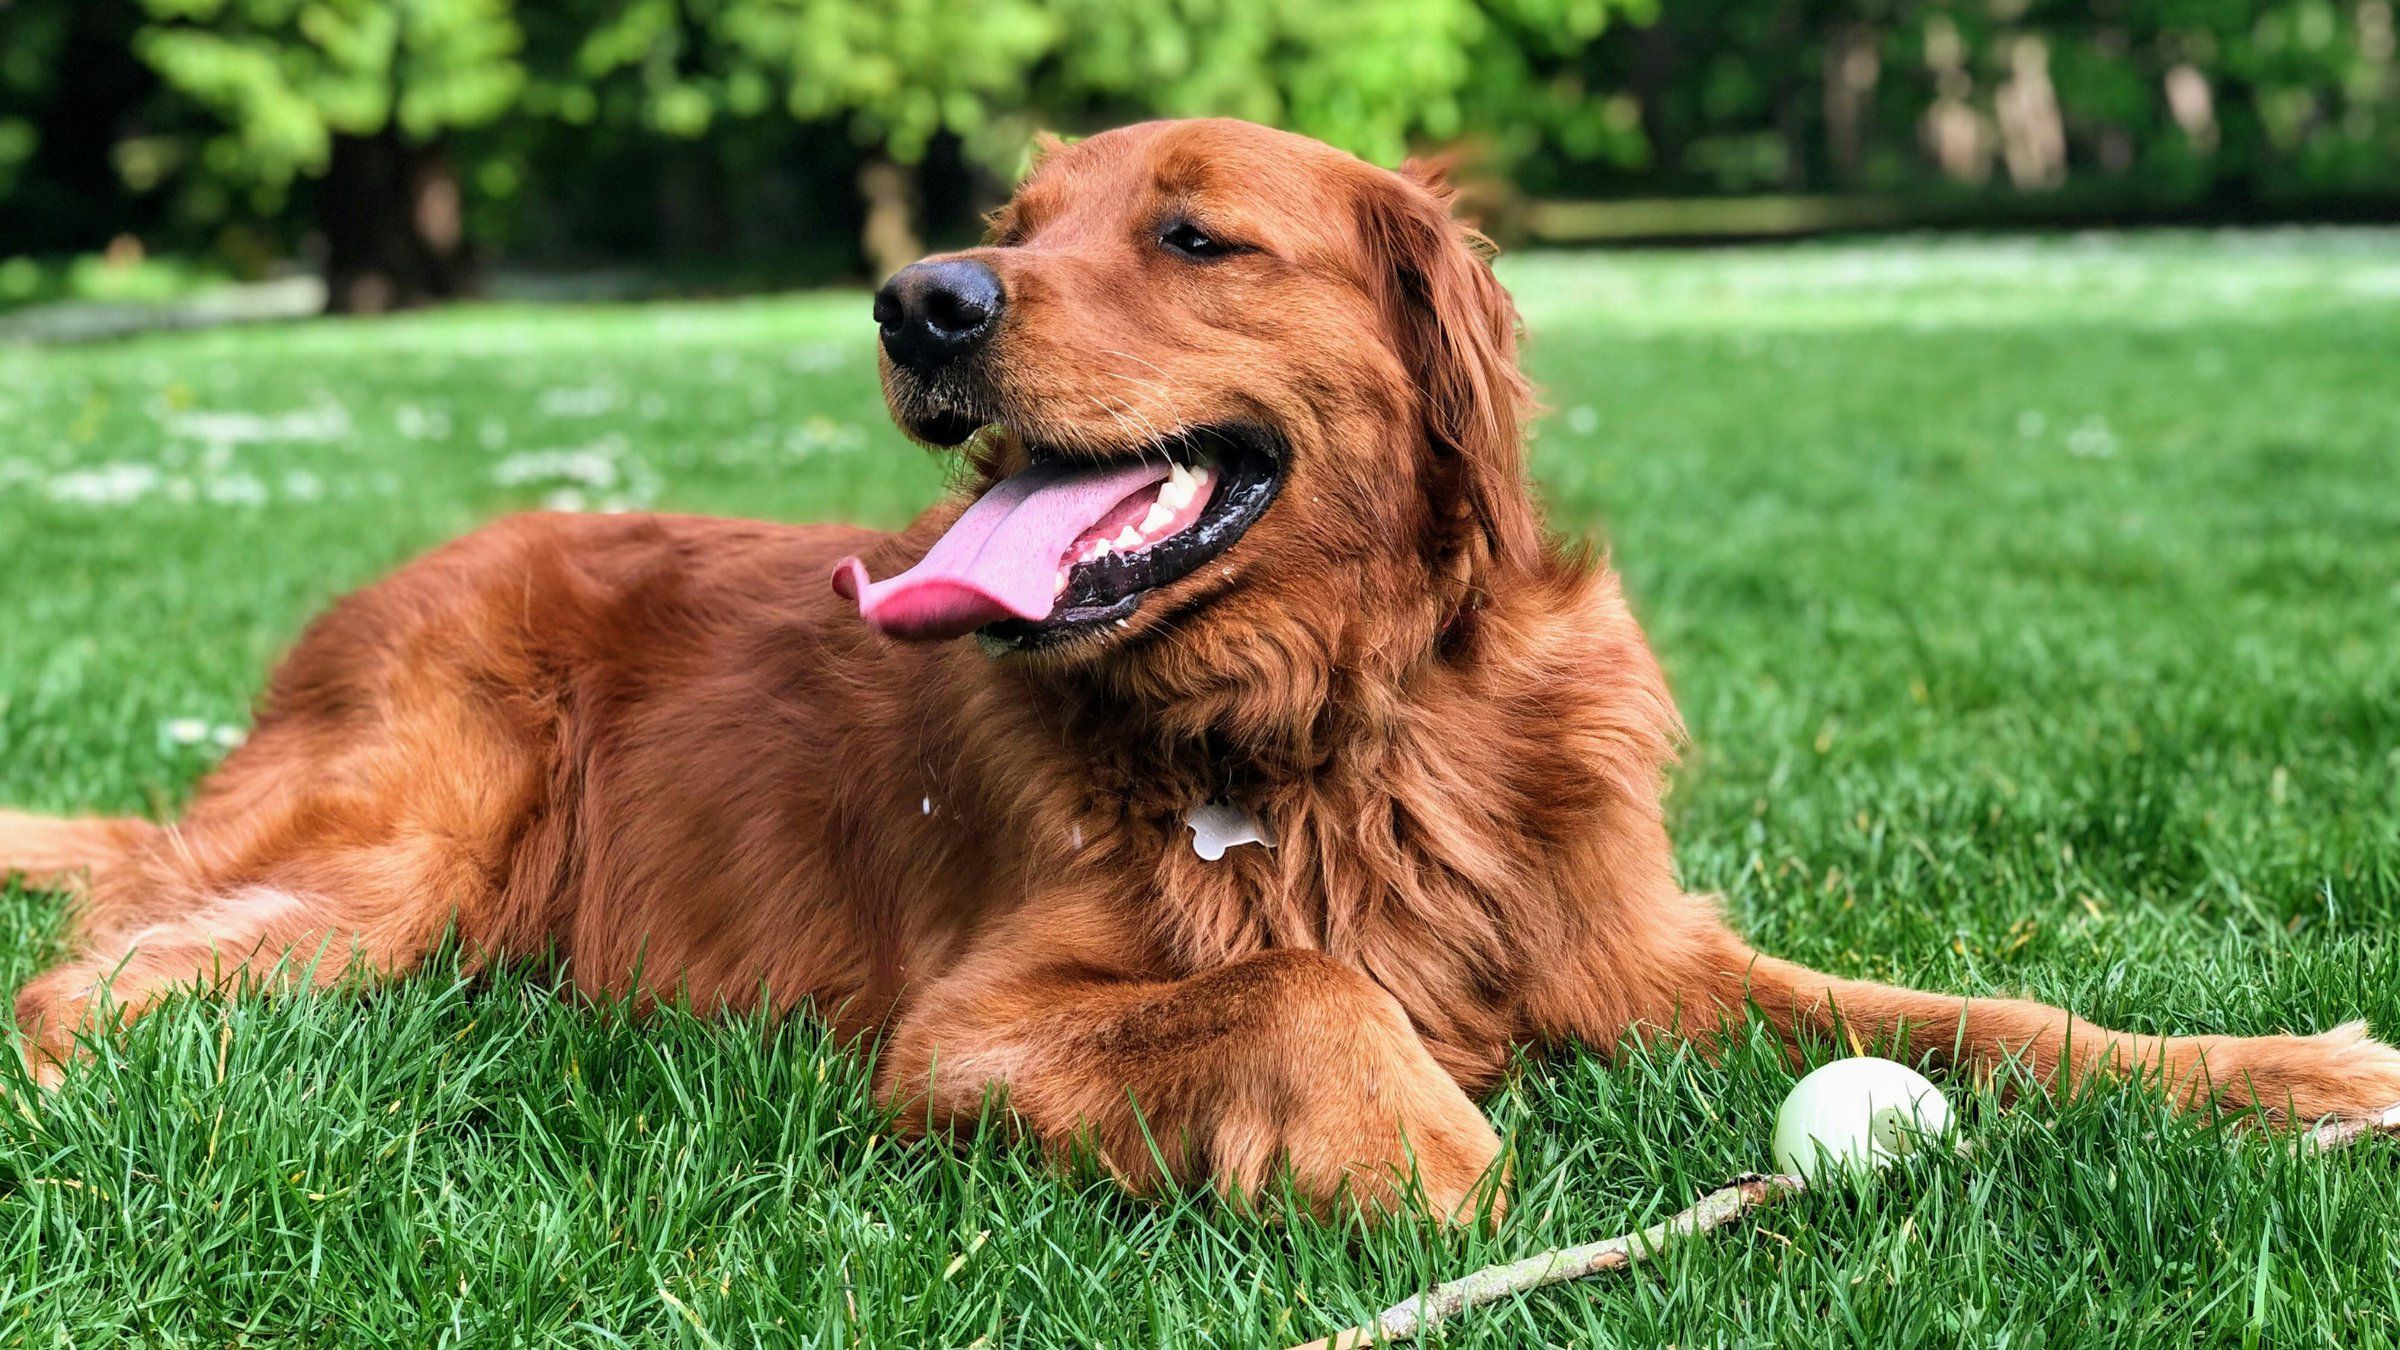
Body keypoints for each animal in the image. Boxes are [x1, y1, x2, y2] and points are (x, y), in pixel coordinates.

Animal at [4, 120, 2400, 1215]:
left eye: (1191, 232)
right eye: (1013, 218)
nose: (920, 298)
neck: (1340, 715)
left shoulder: (1637, 951)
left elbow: (1993, 1014)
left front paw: (2283, 1068)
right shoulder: (962, 1035)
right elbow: (1307, 982)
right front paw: (1432, 1151)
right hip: (402, 852)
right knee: (84, 980)